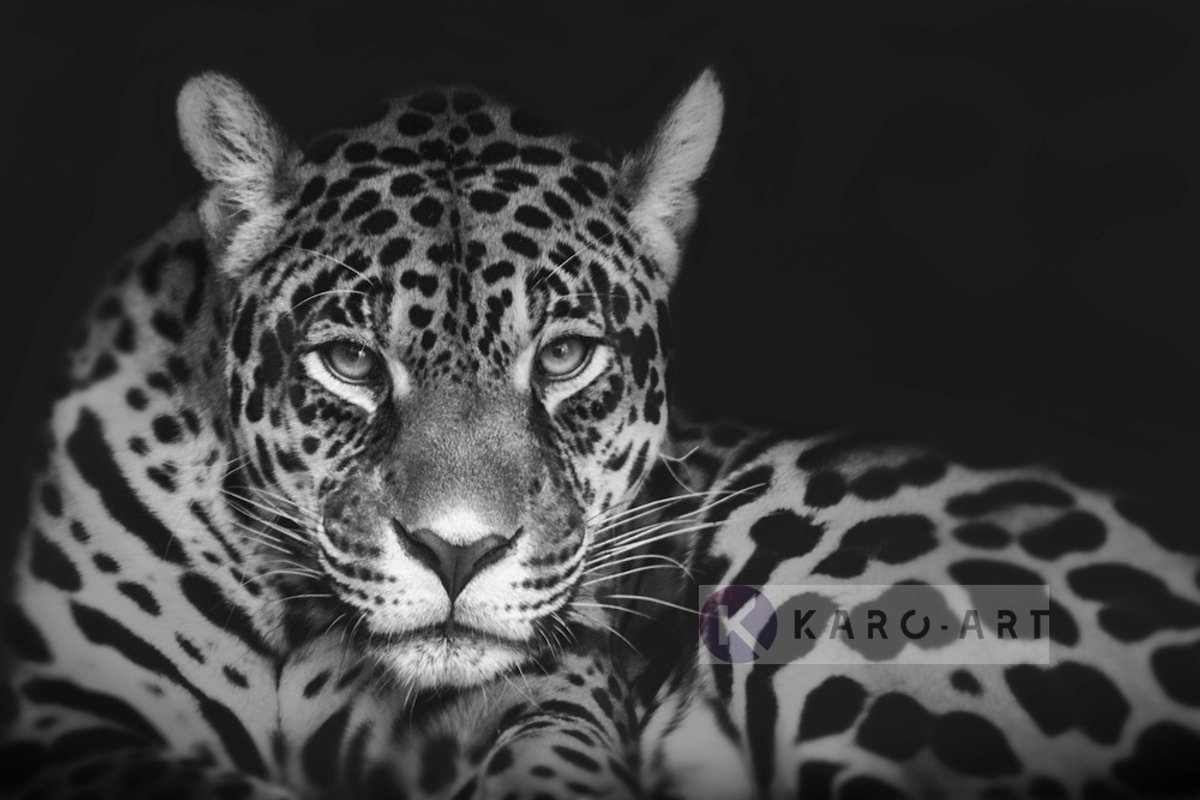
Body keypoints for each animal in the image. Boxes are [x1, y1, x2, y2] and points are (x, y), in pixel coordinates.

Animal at [3, 63, 1199, 800]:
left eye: (566, 357)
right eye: (350, 362)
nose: (457, 553)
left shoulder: (553, 679)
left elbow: (550, 741)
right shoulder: (72, 715)